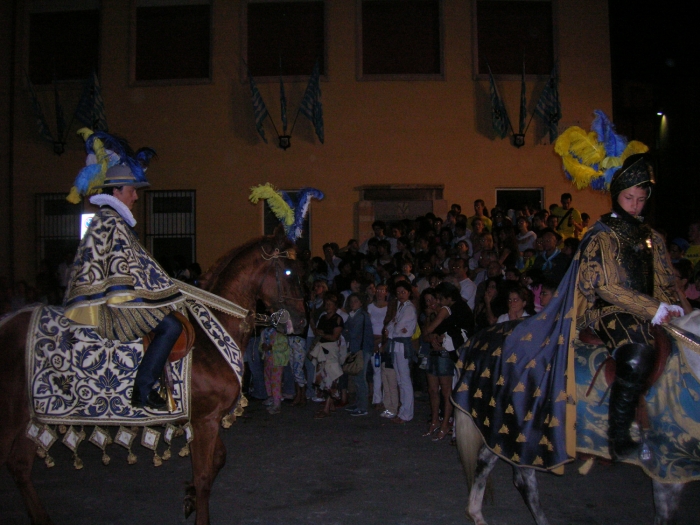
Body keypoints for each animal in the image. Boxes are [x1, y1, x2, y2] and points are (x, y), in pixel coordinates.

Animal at [0, 226, 306, 524]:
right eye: (288, 272)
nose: (302, 322)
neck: (211, 333)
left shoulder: (205, 418)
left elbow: (218, 460)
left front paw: (189, 498)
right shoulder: (204, 419)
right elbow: (204, 477)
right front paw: (197, 505)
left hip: (31, 415)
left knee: (19, 466)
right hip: (12, 417)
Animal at [454, 314, 700, 524]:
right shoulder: (668, 463)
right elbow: (665, 515)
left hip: (500, 422)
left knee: (487, 461)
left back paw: (476, 514)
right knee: (524, 481)